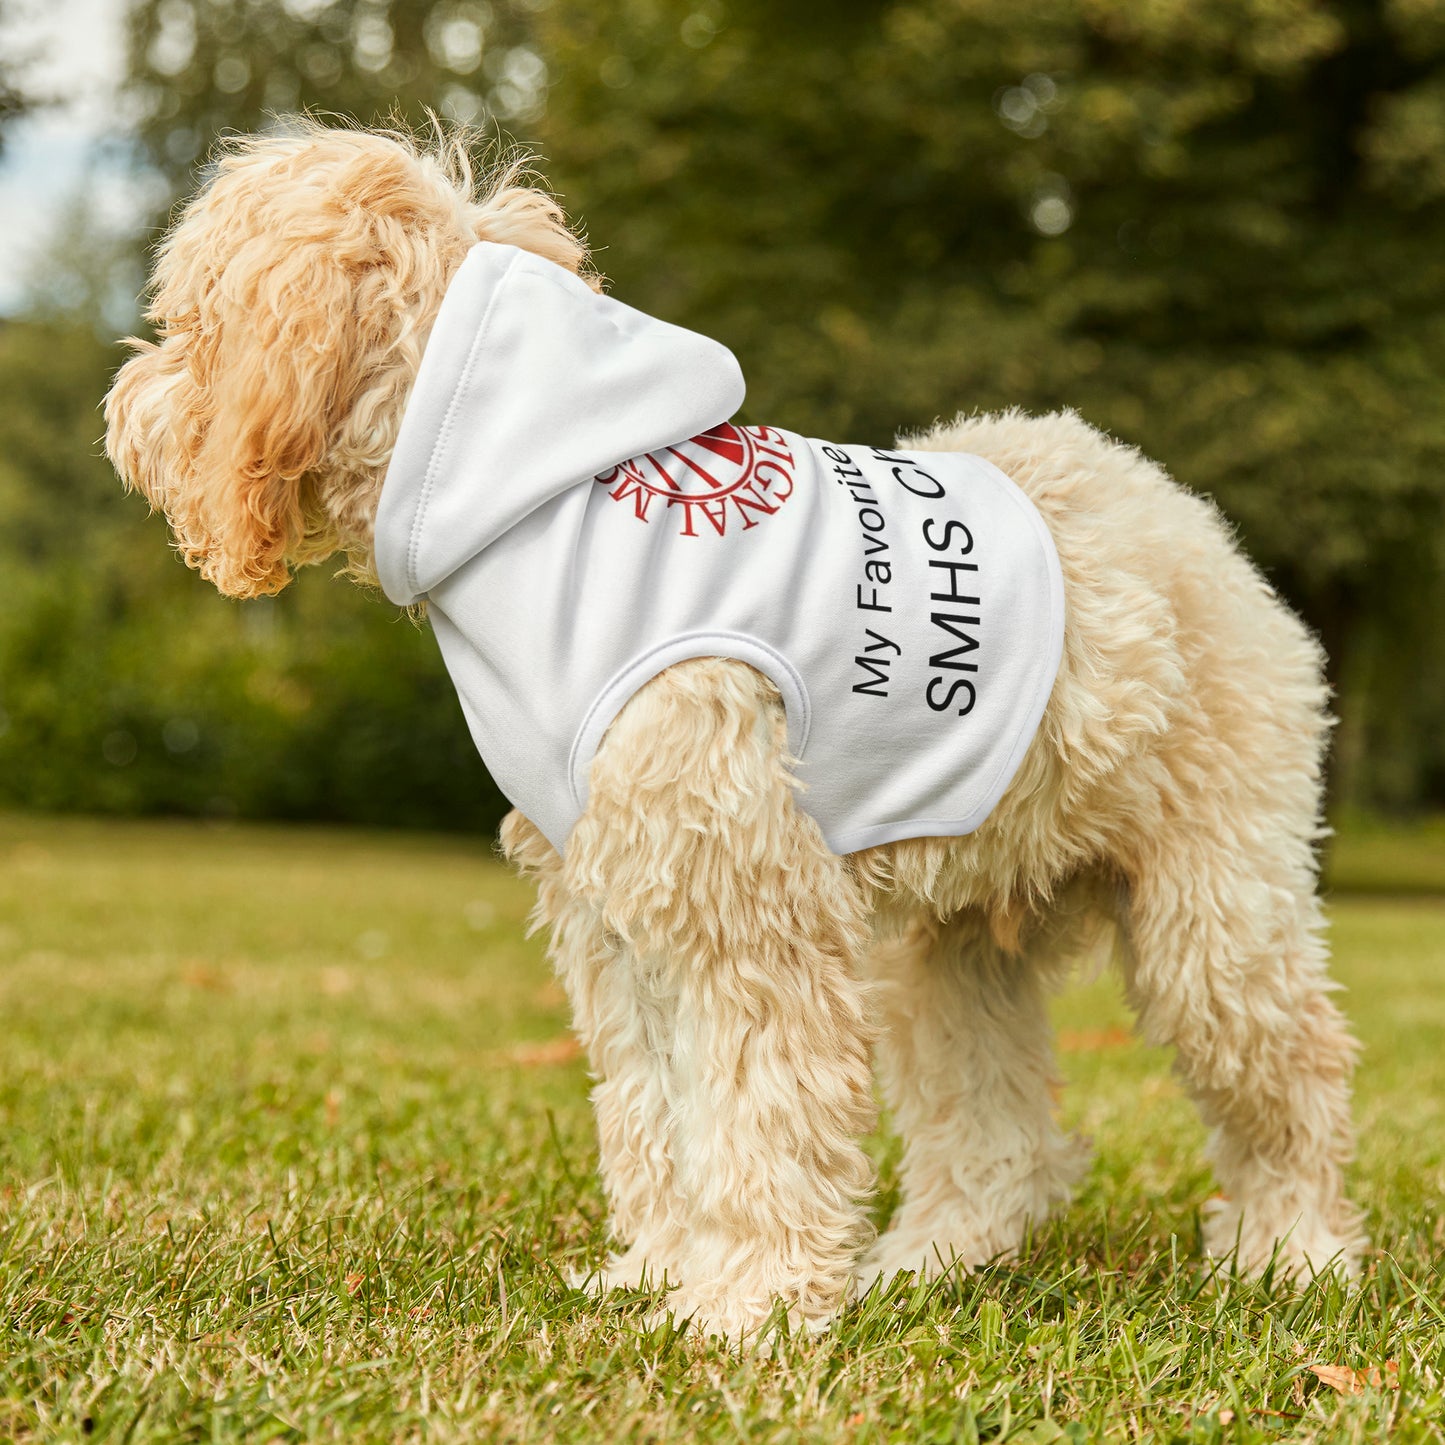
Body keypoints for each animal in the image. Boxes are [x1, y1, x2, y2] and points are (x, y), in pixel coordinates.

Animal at [104, 124, 1364, 1340]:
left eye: (191, 318)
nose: (124, 406)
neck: (531, 499)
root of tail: (1188, 521)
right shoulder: (617, 910)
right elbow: (655, 1110)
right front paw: (661, 1273)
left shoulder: (744, 905)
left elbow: (759, 1109)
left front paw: (747, 1305)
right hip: (949, 946)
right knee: (995, 1131)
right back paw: (929, 1260)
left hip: (1212, 912)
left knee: (1292, 1072)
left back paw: (1290, 1251)